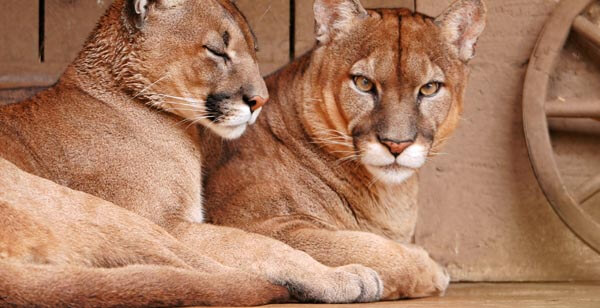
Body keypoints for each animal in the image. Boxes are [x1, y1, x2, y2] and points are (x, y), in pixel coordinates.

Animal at [0, 0, 382, 306]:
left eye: (254, 49)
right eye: (216, 50)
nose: (260, 100)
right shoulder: (165, 220)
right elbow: (254, 244)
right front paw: (345, 276)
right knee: (200, 273)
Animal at [204, 0, 486, 300]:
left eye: (430, 88)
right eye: (363, 83)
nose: (396, 144)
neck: (389, 193)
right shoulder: (249, 221)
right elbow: (363, 248)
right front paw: (432, 271)